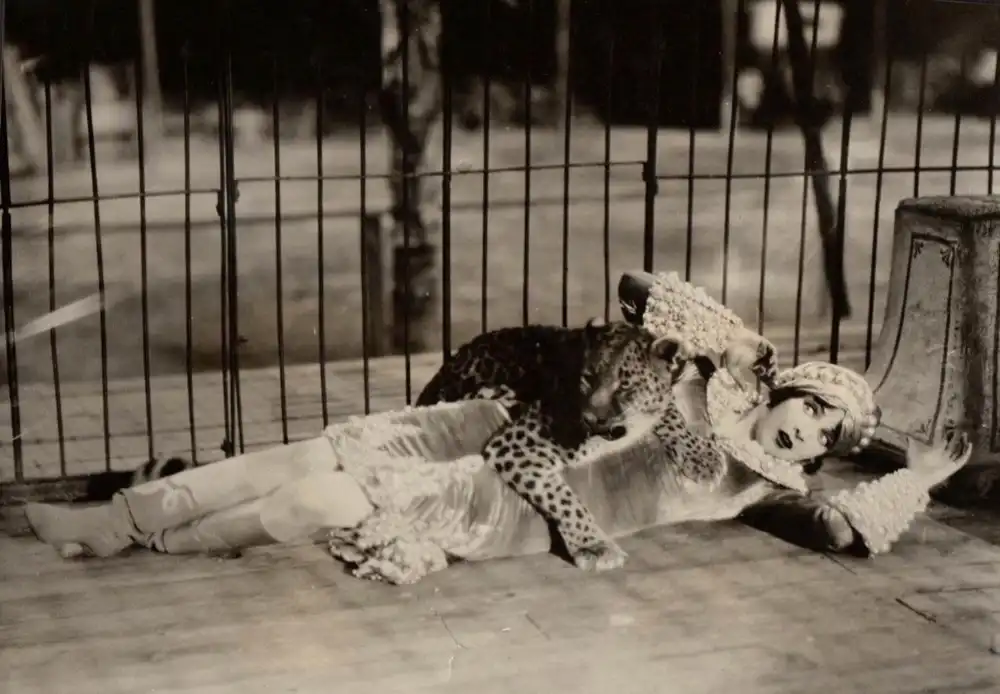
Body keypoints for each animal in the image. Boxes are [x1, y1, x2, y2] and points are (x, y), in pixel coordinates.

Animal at [416, 318, 697, 571]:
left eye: (625, 385)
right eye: (588, 378)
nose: (591, 418)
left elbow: (669, 407)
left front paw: (700, 455)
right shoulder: (514, 444)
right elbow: (562, 498)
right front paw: (595, 546)